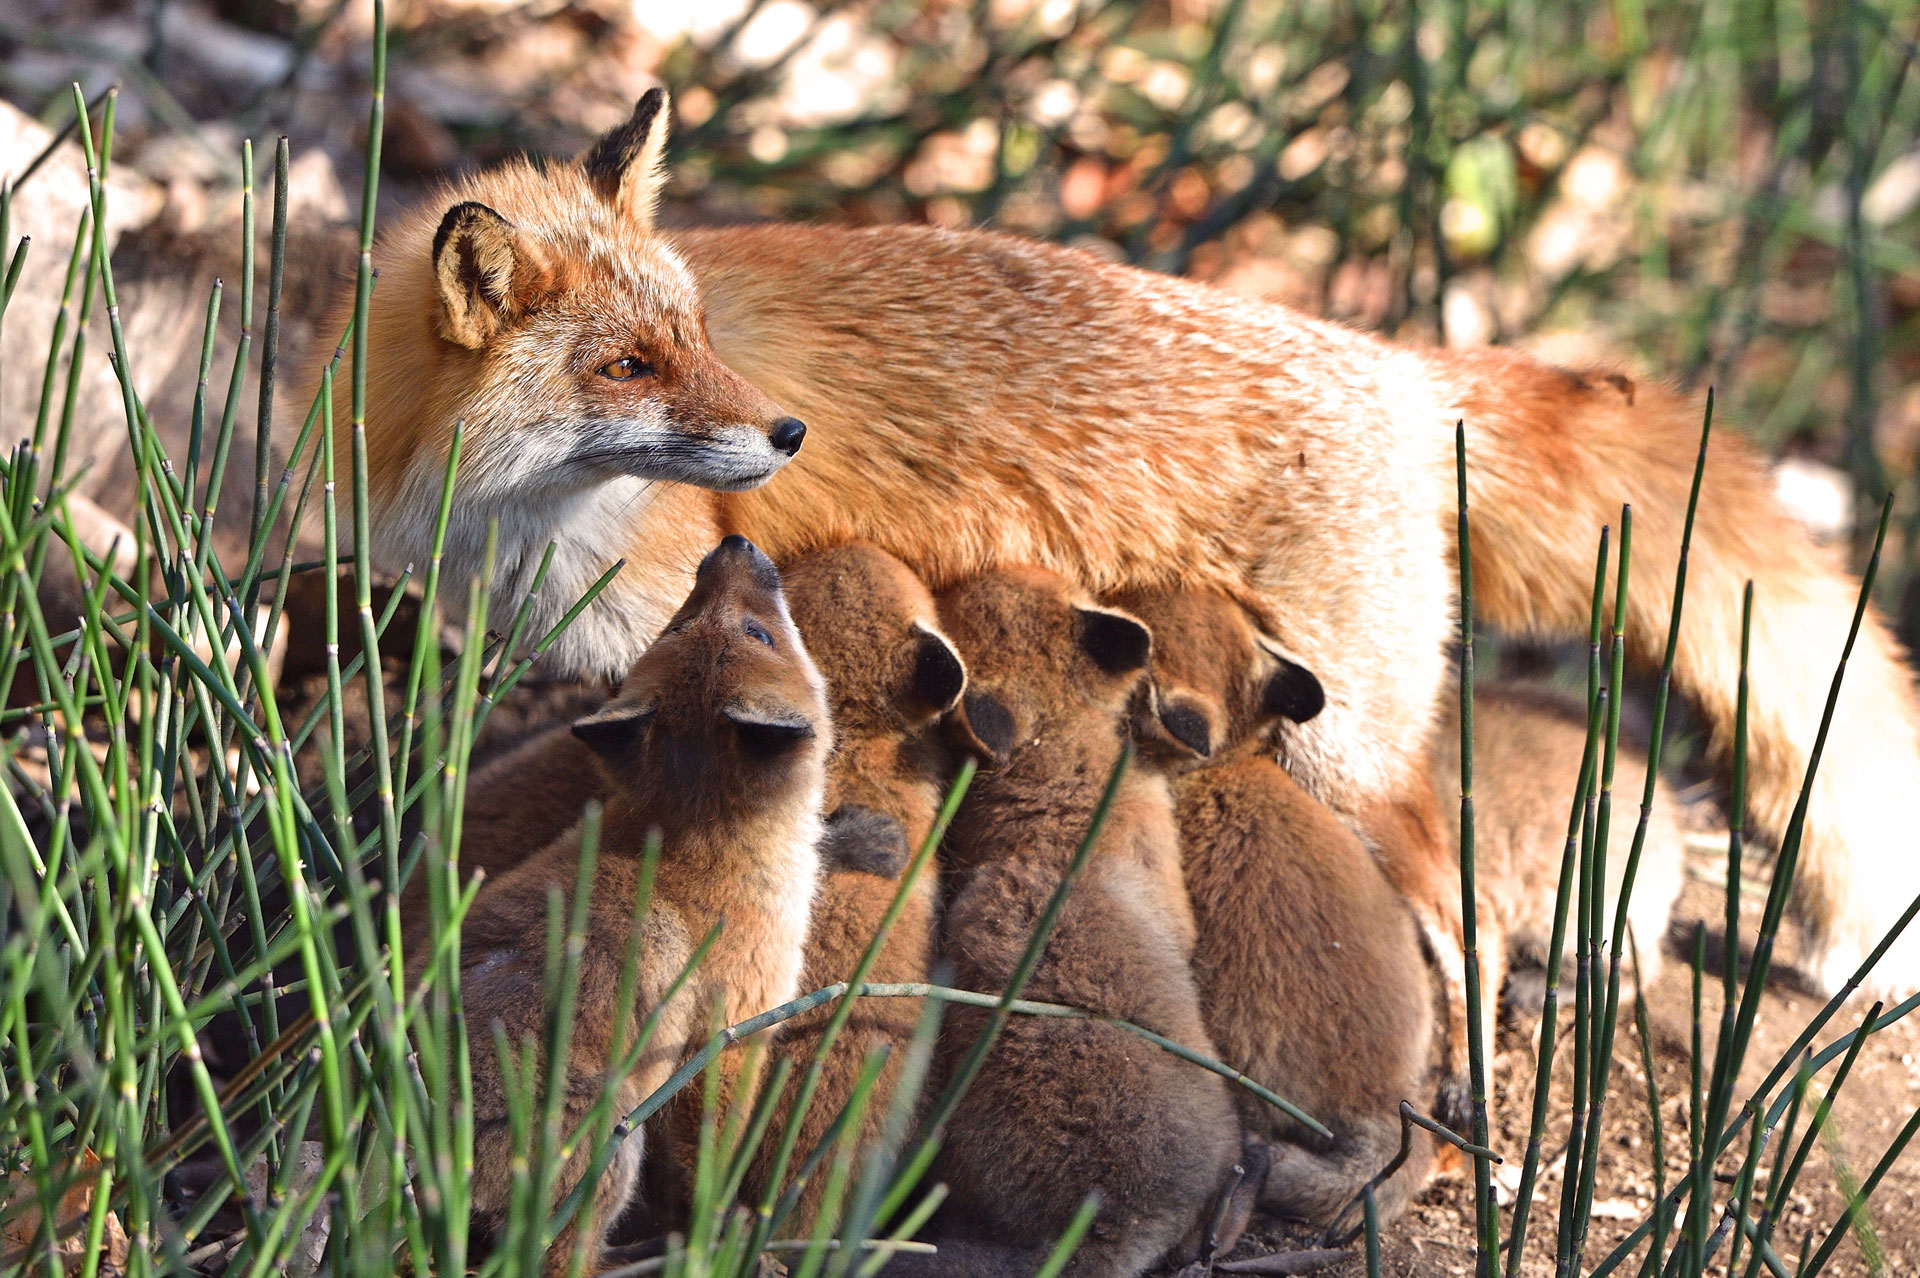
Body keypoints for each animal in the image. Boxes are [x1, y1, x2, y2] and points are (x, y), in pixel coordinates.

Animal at [337, 94, 1920, 997]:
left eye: (698, 337)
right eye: (629, 365)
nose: (784, 435)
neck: (517, 522)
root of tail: (1404, 370)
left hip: (1344, 751)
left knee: (1453, 911)